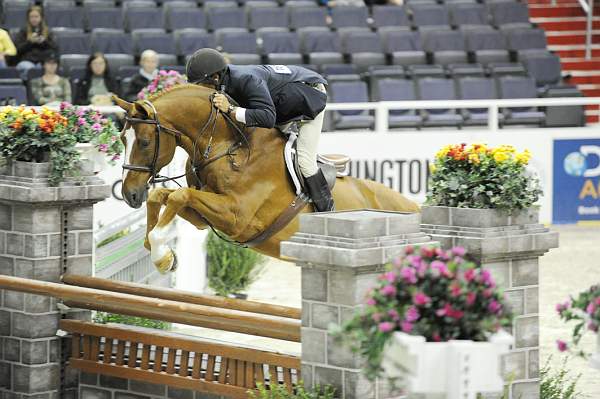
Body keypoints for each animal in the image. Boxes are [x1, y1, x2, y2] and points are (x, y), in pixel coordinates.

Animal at [116, 83, 418, 274]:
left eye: (144, 142)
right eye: (122, 139)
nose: (130, 194)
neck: (231, 146)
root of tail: (414, 209)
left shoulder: (237, 216)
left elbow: (180, 195)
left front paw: (161, 256)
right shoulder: (205, 216)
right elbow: (163, 195)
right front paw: (159, 251)